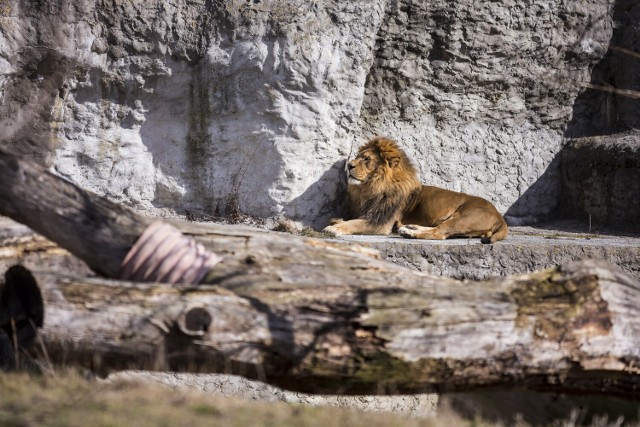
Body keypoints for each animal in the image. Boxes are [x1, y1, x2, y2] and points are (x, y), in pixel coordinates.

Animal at [324, 137, 510, 244]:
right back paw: (410, 227)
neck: (372, 187)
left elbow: (353, 223)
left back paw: (409, 233)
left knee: (438, 233)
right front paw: (336, 221)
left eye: (367, 159)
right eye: (357, 157)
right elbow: (343, 219)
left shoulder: (381, 223)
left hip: (463, 218)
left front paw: (334, 228)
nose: (349, 165)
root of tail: (499, 217)